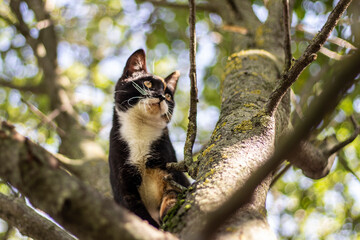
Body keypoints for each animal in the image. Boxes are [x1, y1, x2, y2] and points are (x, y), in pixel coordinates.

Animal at [108, 48, 190, 227]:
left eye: (168, 95)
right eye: (148, 84)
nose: (161, 96)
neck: (140, 133)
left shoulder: (170, 169)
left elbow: (172, 194)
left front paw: (168, 216)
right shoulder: (123, 186)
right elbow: (138, 214)